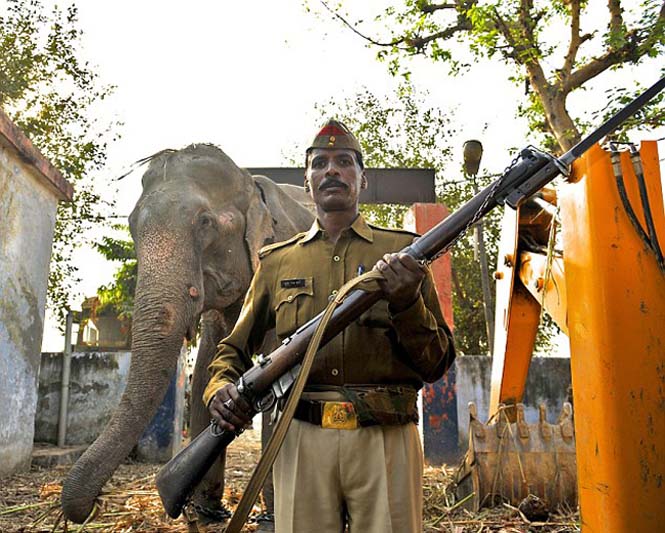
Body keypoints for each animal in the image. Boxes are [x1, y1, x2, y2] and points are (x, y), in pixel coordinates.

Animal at [61, 142, 316, 524]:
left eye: (205, 222)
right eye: (131, 226)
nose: (94, 504)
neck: (249, 182)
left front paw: (271, 521)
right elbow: (210, 366)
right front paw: (205, 514)